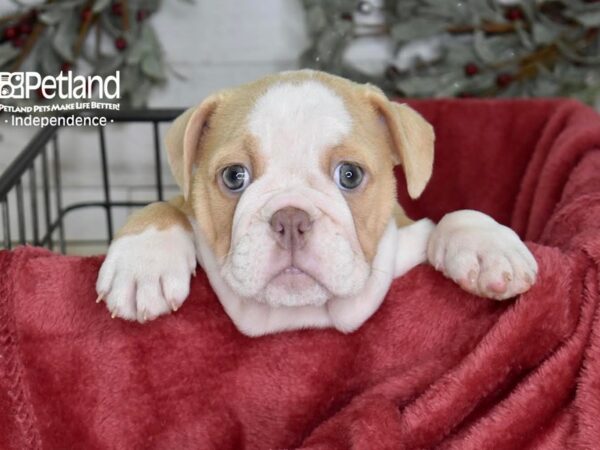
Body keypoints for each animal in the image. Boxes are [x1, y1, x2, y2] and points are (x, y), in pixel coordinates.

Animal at [96, 70, 536, 336]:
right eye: (234, 176)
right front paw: (144, 263)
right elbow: (164, 206)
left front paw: (488, 248)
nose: (291, 219)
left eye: (350, 175)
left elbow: (449, 218)